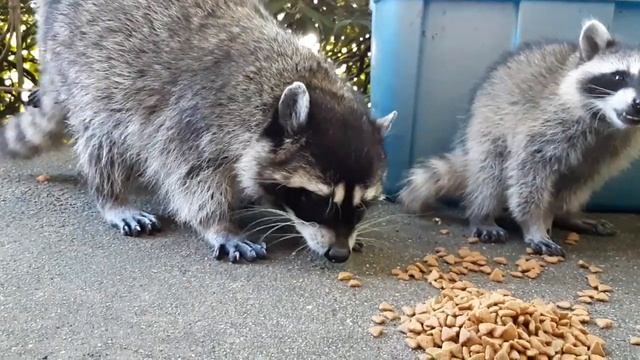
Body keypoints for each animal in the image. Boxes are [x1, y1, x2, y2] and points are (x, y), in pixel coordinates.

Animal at [1, 0, 396, 264]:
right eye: (316, 199)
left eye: (362, 205)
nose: (339, 254)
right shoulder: (195, 121)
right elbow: (191, 179)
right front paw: (219, 224)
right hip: (86, 66)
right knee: (103, 138)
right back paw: (112, 198)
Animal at [400, 19, 640, 256]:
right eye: (619, 76)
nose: (637, 104)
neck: (607, 124)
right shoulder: (548, 123)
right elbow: (528, 171)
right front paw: (533, 222)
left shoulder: (613, 147)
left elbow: (577, 181)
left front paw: (553, 215)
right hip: (487, 125)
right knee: (490, 173)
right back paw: (483, 213)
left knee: (578, 183)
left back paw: (567, 214)